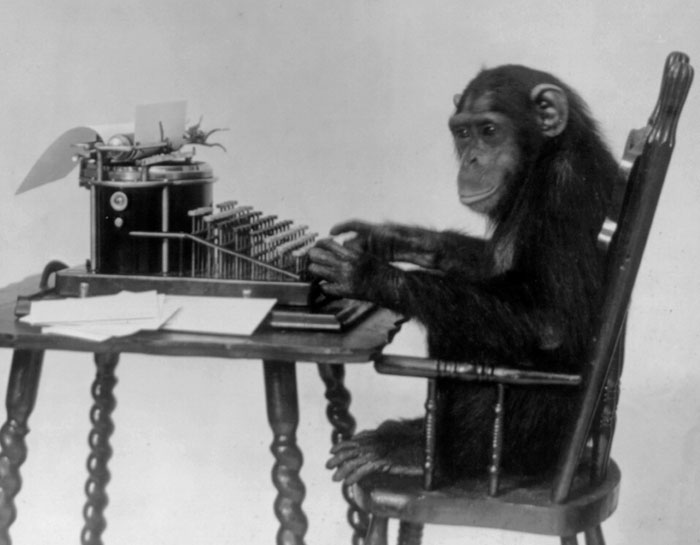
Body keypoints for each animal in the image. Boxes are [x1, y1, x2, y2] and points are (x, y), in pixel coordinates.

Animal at [307, 64, 618, 485]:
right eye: (463, 132)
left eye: (489, 130)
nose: (471, 159)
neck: (542, 161)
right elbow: (489, 265)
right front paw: (382, 238)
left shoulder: (565, 193)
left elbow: (552, 323)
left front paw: (367, 274)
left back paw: (416, 450)